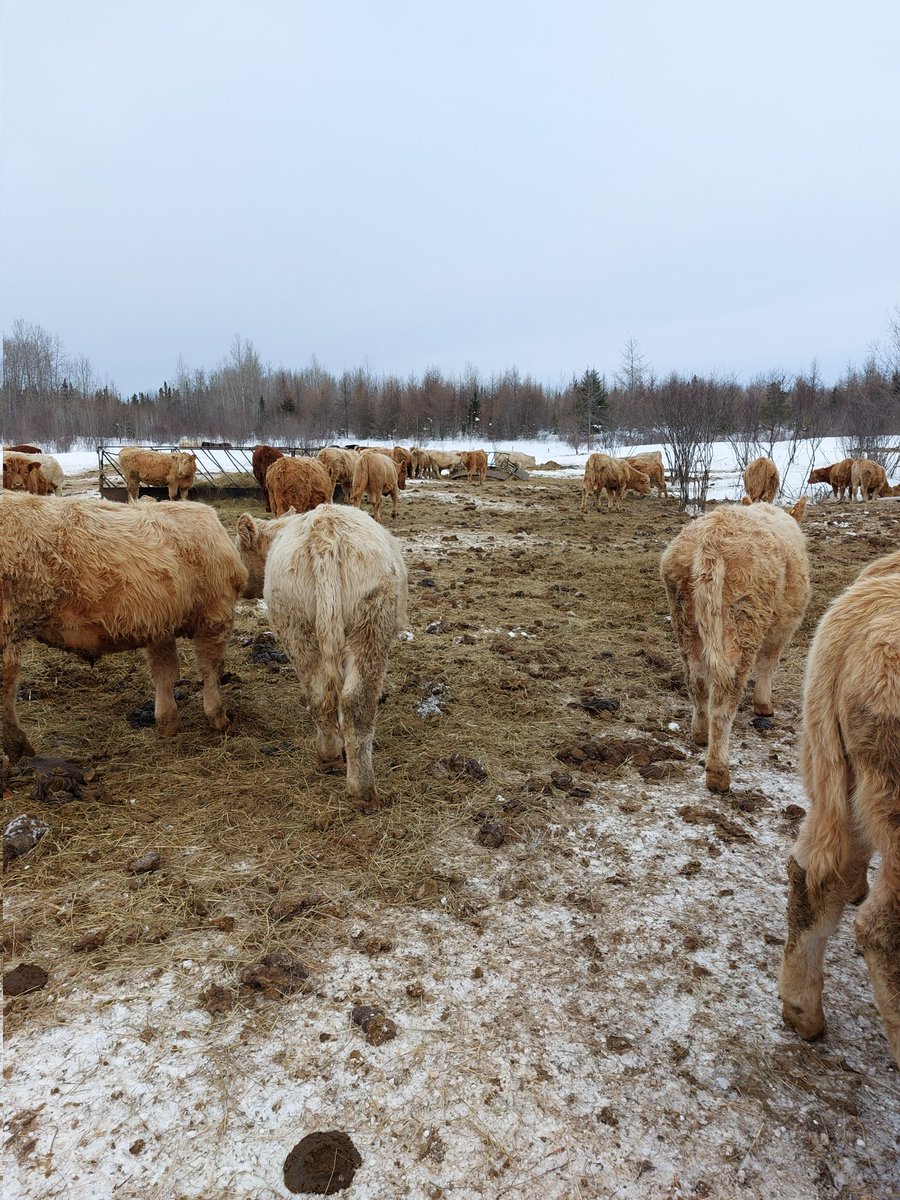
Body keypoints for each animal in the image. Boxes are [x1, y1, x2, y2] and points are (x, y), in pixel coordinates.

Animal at [1, 493, 247, 761]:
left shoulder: (160, 627)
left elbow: (165, 672)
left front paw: (167, 722)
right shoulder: (215, 616)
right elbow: (209, 669)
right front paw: (219, 717)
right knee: (7, 685)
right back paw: (18, 746)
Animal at [235, 505, 409, 812]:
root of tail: (324, 531)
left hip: (296, 627)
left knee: (321, 694)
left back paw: (329, 757)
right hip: (370, 627)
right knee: (356, 703)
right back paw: (363, 791)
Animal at [660, 498, 810, 793]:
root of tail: (712, 535)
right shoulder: (784, 627)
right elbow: (768, 664)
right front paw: (764, 705)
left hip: (685, 620)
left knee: (696, 679)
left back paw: (700, 734)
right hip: (744, 621)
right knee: (725, 694)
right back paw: (718, 773)